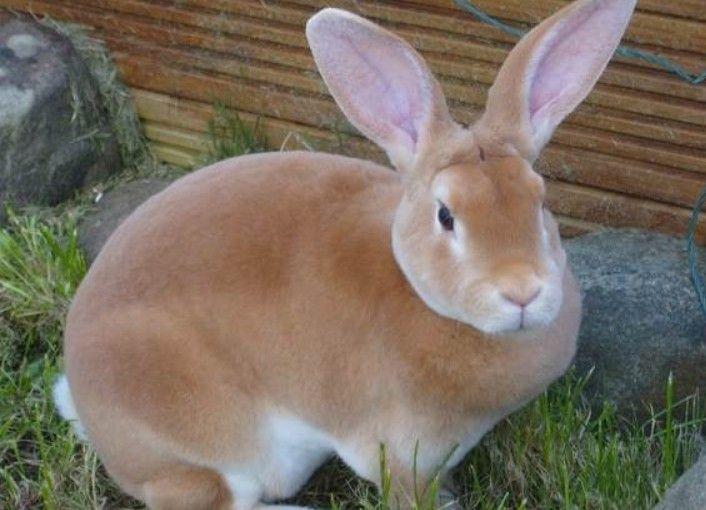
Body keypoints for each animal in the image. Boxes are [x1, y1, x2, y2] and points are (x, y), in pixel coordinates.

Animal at [53, 0, 636, 508]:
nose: (522, 291)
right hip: (201, 438)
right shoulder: (399, 453)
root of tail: (86, 405)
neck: (420, 296)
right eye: (446, 215)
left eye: (539, 200)